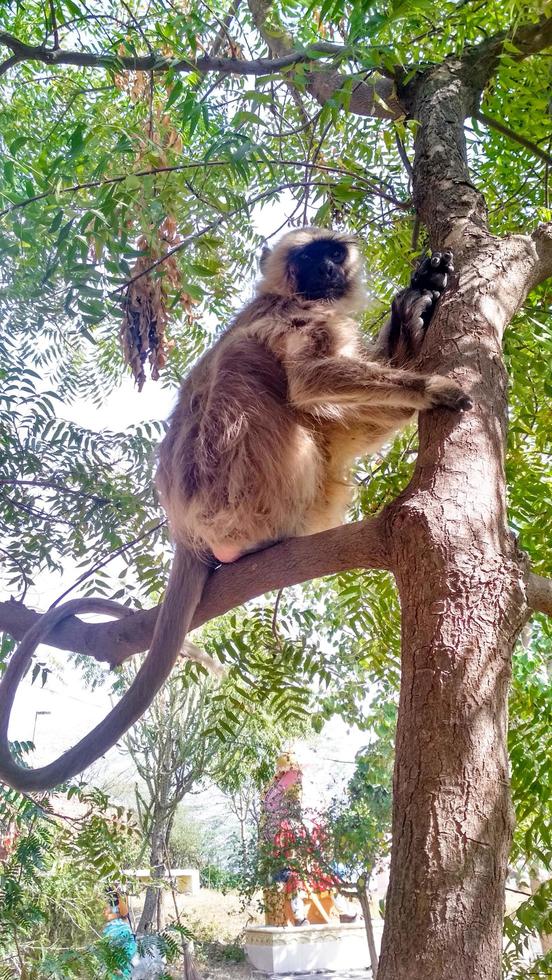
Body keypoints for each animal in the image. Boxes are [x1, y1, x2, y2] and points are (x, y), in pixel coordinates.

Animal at [0, 226, 470, 792]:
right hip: (248, 494)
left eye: (333, 254)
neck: (287, 296)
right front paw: (430, 384)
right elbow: (309, 378)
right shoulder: (293, 315)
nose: (327, 271)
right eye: (309, 258)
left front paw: (418, 294)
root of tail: (183, 531)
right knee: (267, 377)